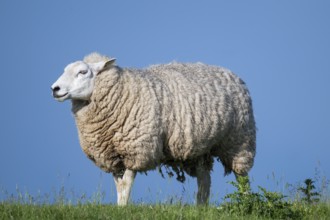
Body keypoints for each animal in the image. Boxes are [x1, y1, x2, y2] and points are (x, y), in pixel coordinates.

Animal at [51, 52, 256, 205]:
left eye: (82, 72)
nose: (55, 88)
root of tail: (230, 74)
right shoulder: (112, 155)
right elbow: (119, 186)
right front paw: (119, 206)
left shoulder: (136, 149)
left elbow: (127, 183)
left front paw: (123, 209)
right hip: (201, 150)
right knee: (204, 181)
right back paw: (201, 208)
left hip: (239, 141)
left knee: (242, 177)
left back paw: (246, 205)